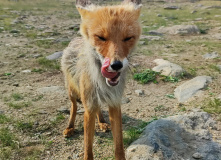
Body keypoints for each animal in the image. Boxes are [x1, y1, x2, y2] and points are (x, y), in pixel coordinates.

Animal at [60, 0, 142, 159]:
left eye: (128, 38)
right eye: (101, 37)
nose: (116, 65)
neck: (104, 85)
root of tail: (76, 39)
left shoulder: (115, 104)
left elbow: (119, 146)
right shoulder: (89, 108)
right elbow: (88, 148)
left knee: (98, 109)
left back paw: (103, 123)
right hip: (72, 92)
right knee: (73, 107)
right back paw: (69, 127)